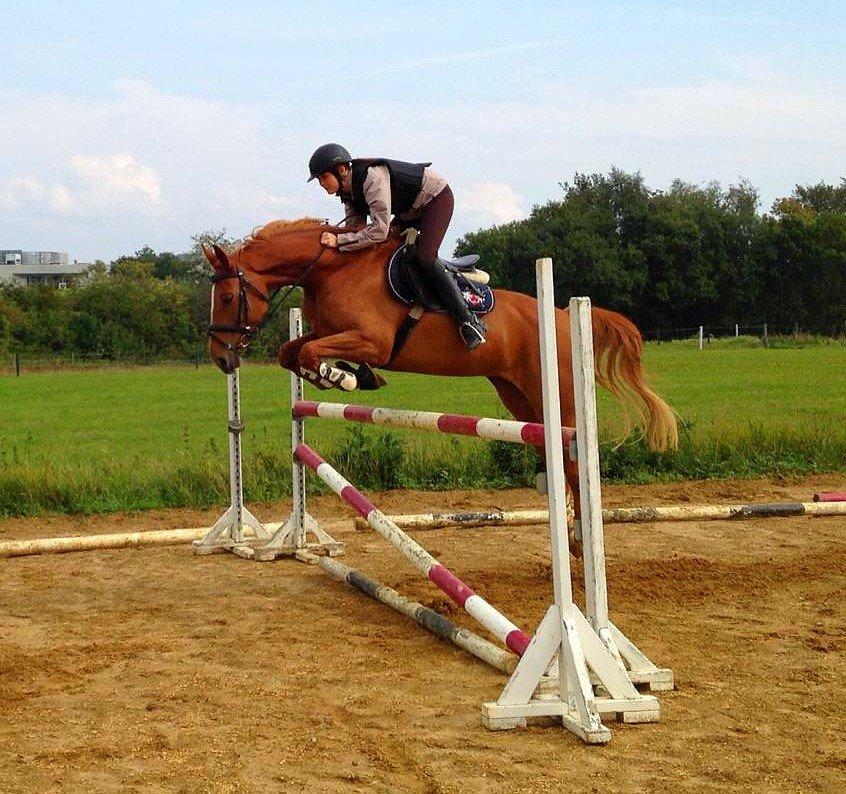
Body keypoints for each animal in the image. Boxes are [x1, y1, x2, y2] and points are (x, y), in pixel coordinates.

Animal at [207, 218, 684, 532]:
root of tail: (565, 313)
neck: (332, 270)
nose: (221, 359)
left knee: (573, 454)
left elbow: (309, 351)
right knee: (553, 452)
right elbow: (291, 351)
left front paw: (341, 377)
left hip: (559, 392)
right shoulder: (331, 333)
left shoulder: (373, 341)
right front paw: (346, 376)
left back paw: (581, 537)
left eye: (227, 297)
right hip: (517, 395)